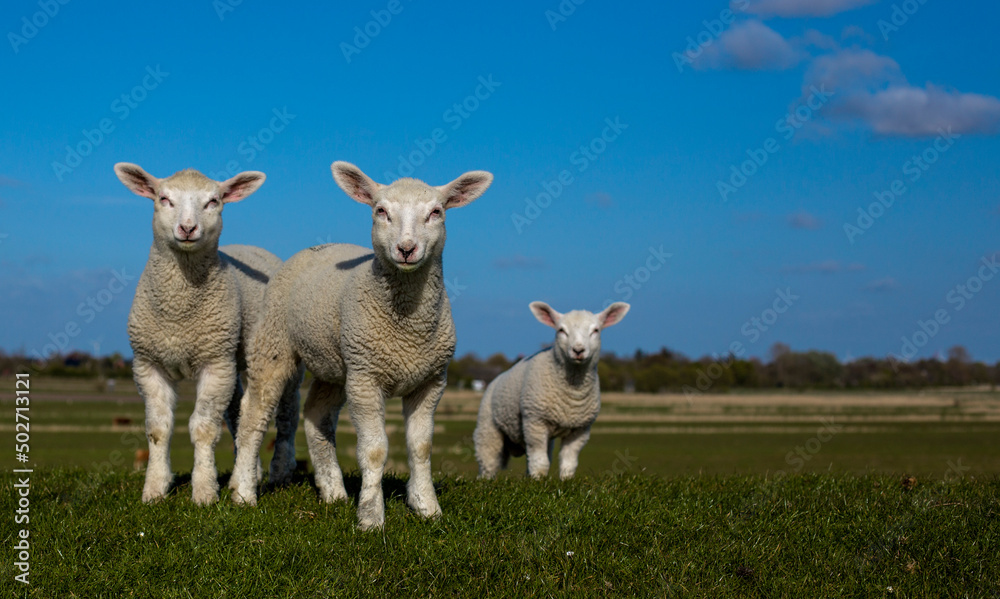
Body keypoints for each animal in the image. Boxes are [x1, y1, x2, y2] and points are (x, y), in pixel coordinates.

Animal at [114, 163, 300, 505]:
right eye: (163, 199)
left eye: (214, 201)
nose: (187, 228)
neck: (178, 312)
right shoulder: (149, 364)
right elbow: (158, 429)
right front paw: (155, 489)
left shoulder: (215, 364)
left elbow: (203, 428)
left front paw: (203, 492)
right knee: (238, 412)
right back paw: (250, 471)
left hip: (275, 355)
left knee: (287, 415)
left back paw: (280, 470)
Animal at [230, 161, 492, 530]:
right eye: (380, 211)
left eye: (436, 212)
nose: (407, 249)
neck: (407, 327)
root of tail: (319, 247)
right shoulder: (367, 379)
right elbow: (374, 450)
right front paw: (370, 517)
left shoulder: (431, 380)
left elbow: (422, 447)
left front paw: (427, 508)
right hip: (275, 342)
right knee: (253, 416)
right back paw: (242, 493)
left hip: (336, 364)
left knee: (317, 416)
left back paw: (333, 491)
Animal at [474, 301, 630, 480]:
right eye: (561, 330)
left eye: (596, 330)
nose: (578, 350)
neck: (573, 391)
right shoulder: (535, 422)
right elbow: (540, 462)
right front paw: (538, 480)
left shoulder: (580, 430)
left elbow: (568, 461)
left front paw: (565, 480)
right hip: (488, 428)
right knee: (488, 461)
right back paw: (486, 480)